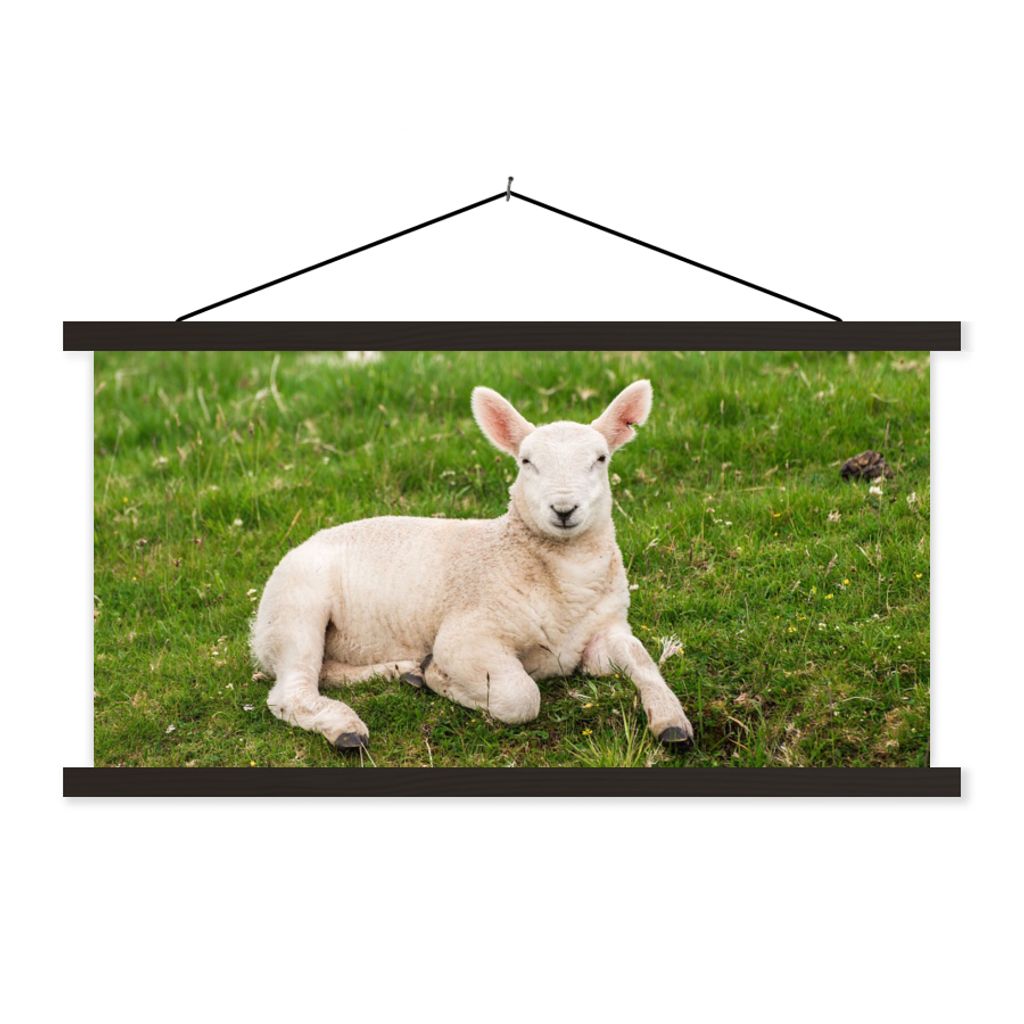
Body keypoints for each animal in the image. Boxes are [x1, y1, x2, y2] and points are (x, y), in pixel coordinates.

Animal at [250, 379, 695, 753]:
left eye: (600, 459)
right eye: (526, 462)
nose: (564, 509)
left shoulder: (607, 629)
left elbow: (641, 660)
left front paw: (672, 722)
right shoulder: (467, 633)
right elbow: (520, 696)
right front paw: (440, 678)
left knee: (325, 671)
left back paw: (402, 671)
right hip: (295, 607)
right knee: (292, 691)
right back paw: (345, 728)